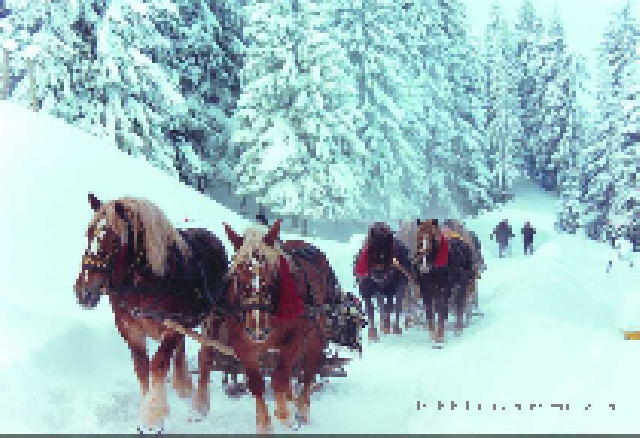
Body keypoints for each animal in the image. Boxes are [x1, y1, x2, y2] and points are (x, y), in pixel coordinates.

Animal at [74, 193, 229, 430]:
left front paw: (152, 418)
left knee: (205, 358)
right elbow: (142, 368)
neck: (146, 281)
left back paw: (199, 407)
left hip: (211, 317)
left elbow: (158, 364)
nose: (83, 292)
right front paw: (147, 410)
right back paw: (183, 386)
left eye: (115, 241)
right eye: (89, 234)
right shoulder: (131, 329)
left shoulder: (174, 326)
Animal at [195, 221, 348, 432]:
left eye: (272, 275)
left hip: (317, 332)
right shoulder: (242, 342)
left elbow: (280, 377)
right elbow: (257, 382)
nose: (257, 329)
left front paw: (285, 415)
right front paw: (265, 424)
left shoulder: (296, 337)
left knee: (308, 369)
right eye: (237, 276)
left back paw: (301, 409)